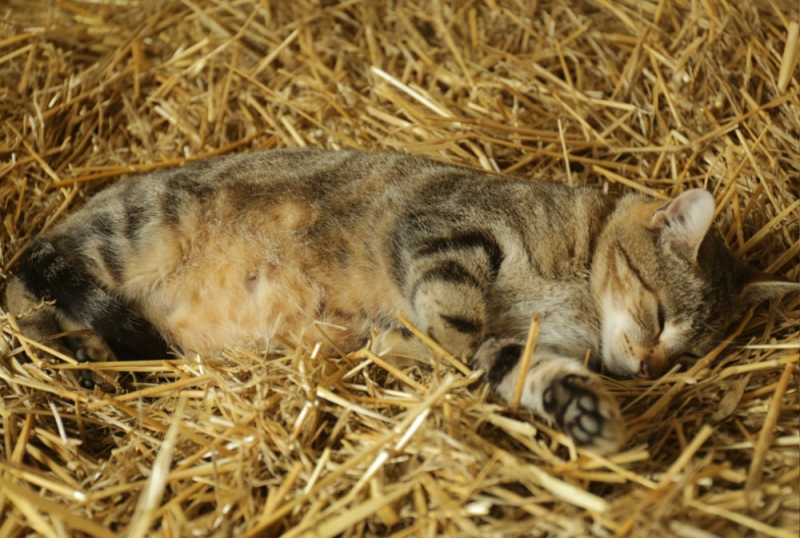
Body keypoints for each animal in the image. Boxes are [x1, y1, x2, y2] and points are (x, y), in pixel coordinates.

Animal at [6, 148, 800, 452]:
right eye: (661, 319)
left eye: (686, 356)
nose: (648, 368)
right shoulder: (444, 231)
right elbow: (453, 323)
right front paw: (414, 346)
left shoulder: (528, 346)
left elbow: (521, 367)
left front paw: (583, 410)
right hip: (125, 235)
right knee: (33, 284)